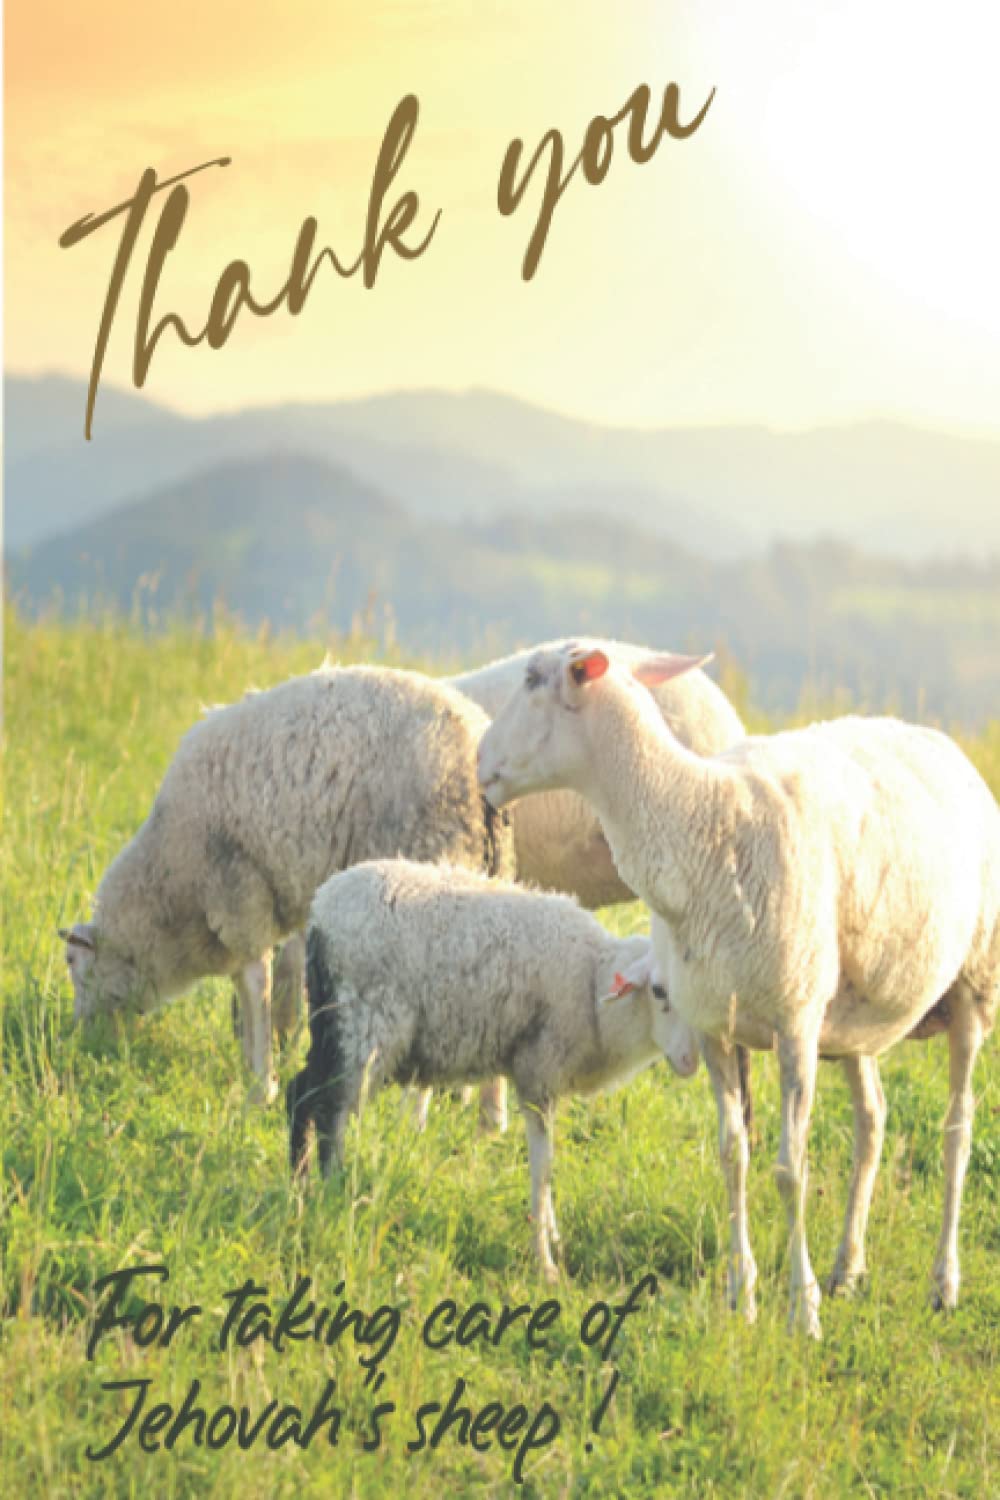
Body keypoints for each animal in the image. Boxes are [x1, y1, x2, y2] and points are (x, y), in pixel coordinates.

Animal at [60, 665, 514, 1104]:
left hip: (429, 856)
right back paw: (488, 1114)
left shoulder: (238, 895)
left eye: (70, 962)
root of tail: (473, 755)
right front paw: (257, 1063)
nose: (81, 1038)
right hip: (488, 871)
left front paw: (261, 1086)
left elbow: (254, 983)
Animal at [286, 858, 699, 1280]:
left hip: (331, 1021)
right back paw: (332, 1189)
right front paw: (545, 1261)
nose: (690, 1062)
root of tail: (321, 911)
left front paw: (553, 1238)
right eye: (659, 992)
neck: (592, 987)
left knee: (299, 1092)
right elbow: (543, 1168)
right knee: (331, 1109)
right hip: (364, 1026)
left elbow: (547, 1166)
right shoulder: (537, 1072)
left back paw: (301, 1186)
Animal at [476, 641, 1000, 1335]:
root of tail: (941, 742)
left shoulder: (794, 1021)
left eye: (533, 680)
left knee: (957, 1130)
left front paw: (801, 1309)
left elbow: (790, 1168)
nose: (479, 761)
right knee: (873, 1121)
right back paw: (848, 1268)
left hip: (972, 983)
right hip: (850, 1014)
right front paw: (742, 1295)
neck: (697, 818)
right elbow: (735, 1155)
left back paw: (943, 1282)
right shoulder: (713, 1024)